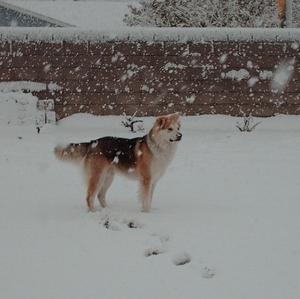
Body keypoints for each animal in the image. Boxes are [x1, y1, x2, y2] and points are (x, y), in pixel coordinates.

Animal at [54, 112, 182, 213]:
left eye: (178, 128)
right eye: (170, 129)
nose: (180, 136)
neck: (158, 146)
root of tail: (92, 143)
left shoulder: (153, 181)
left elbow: (149, 199)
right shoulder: (146, 180)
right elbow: (145, 200)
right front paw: (146, 213)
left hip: (108, 177)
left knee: (100, 195)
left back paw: (108, 209)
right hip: (97, 176)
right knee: (90, 196)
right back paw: (93, 212)